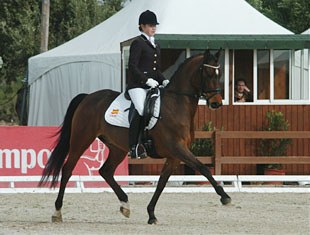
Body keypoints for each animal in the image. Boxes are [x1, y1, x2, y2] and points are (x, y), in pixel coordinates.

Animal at [39, 49, 230, 224]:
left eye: (219, 73)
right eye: (208, 73)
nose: (216, 103)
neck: (176, 104)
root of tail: (88, 97)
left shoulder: (174, 155)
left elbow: (162, 182)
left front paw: (151, 214)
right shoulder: (177, 148)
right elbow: (203, 168)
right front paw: (224, 196)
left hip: (117, 148)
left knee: (105, 171)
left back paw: (125, 205)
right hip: (81, 139)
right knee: (67, 169)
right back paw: (57, 212)